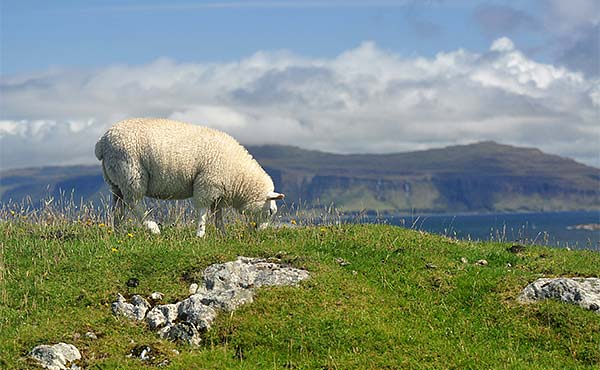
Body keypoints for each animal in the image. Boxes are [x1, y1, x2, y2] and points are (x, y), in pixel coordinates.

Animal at [94, 118, 286, 237]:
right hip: (132, 173)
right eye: (270, 211)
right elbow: (202, 211)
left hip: (116, 180)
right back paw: (153, 228)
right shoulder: (206, 184)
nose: (261, 232)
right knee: (135, 203)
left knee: (118, 207)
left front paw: (222, 233)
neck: (238, 176)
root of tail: (102, 143)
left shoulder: (217, 191)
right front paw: (200, 234)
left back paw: (118, 231)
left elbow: (218, 214)